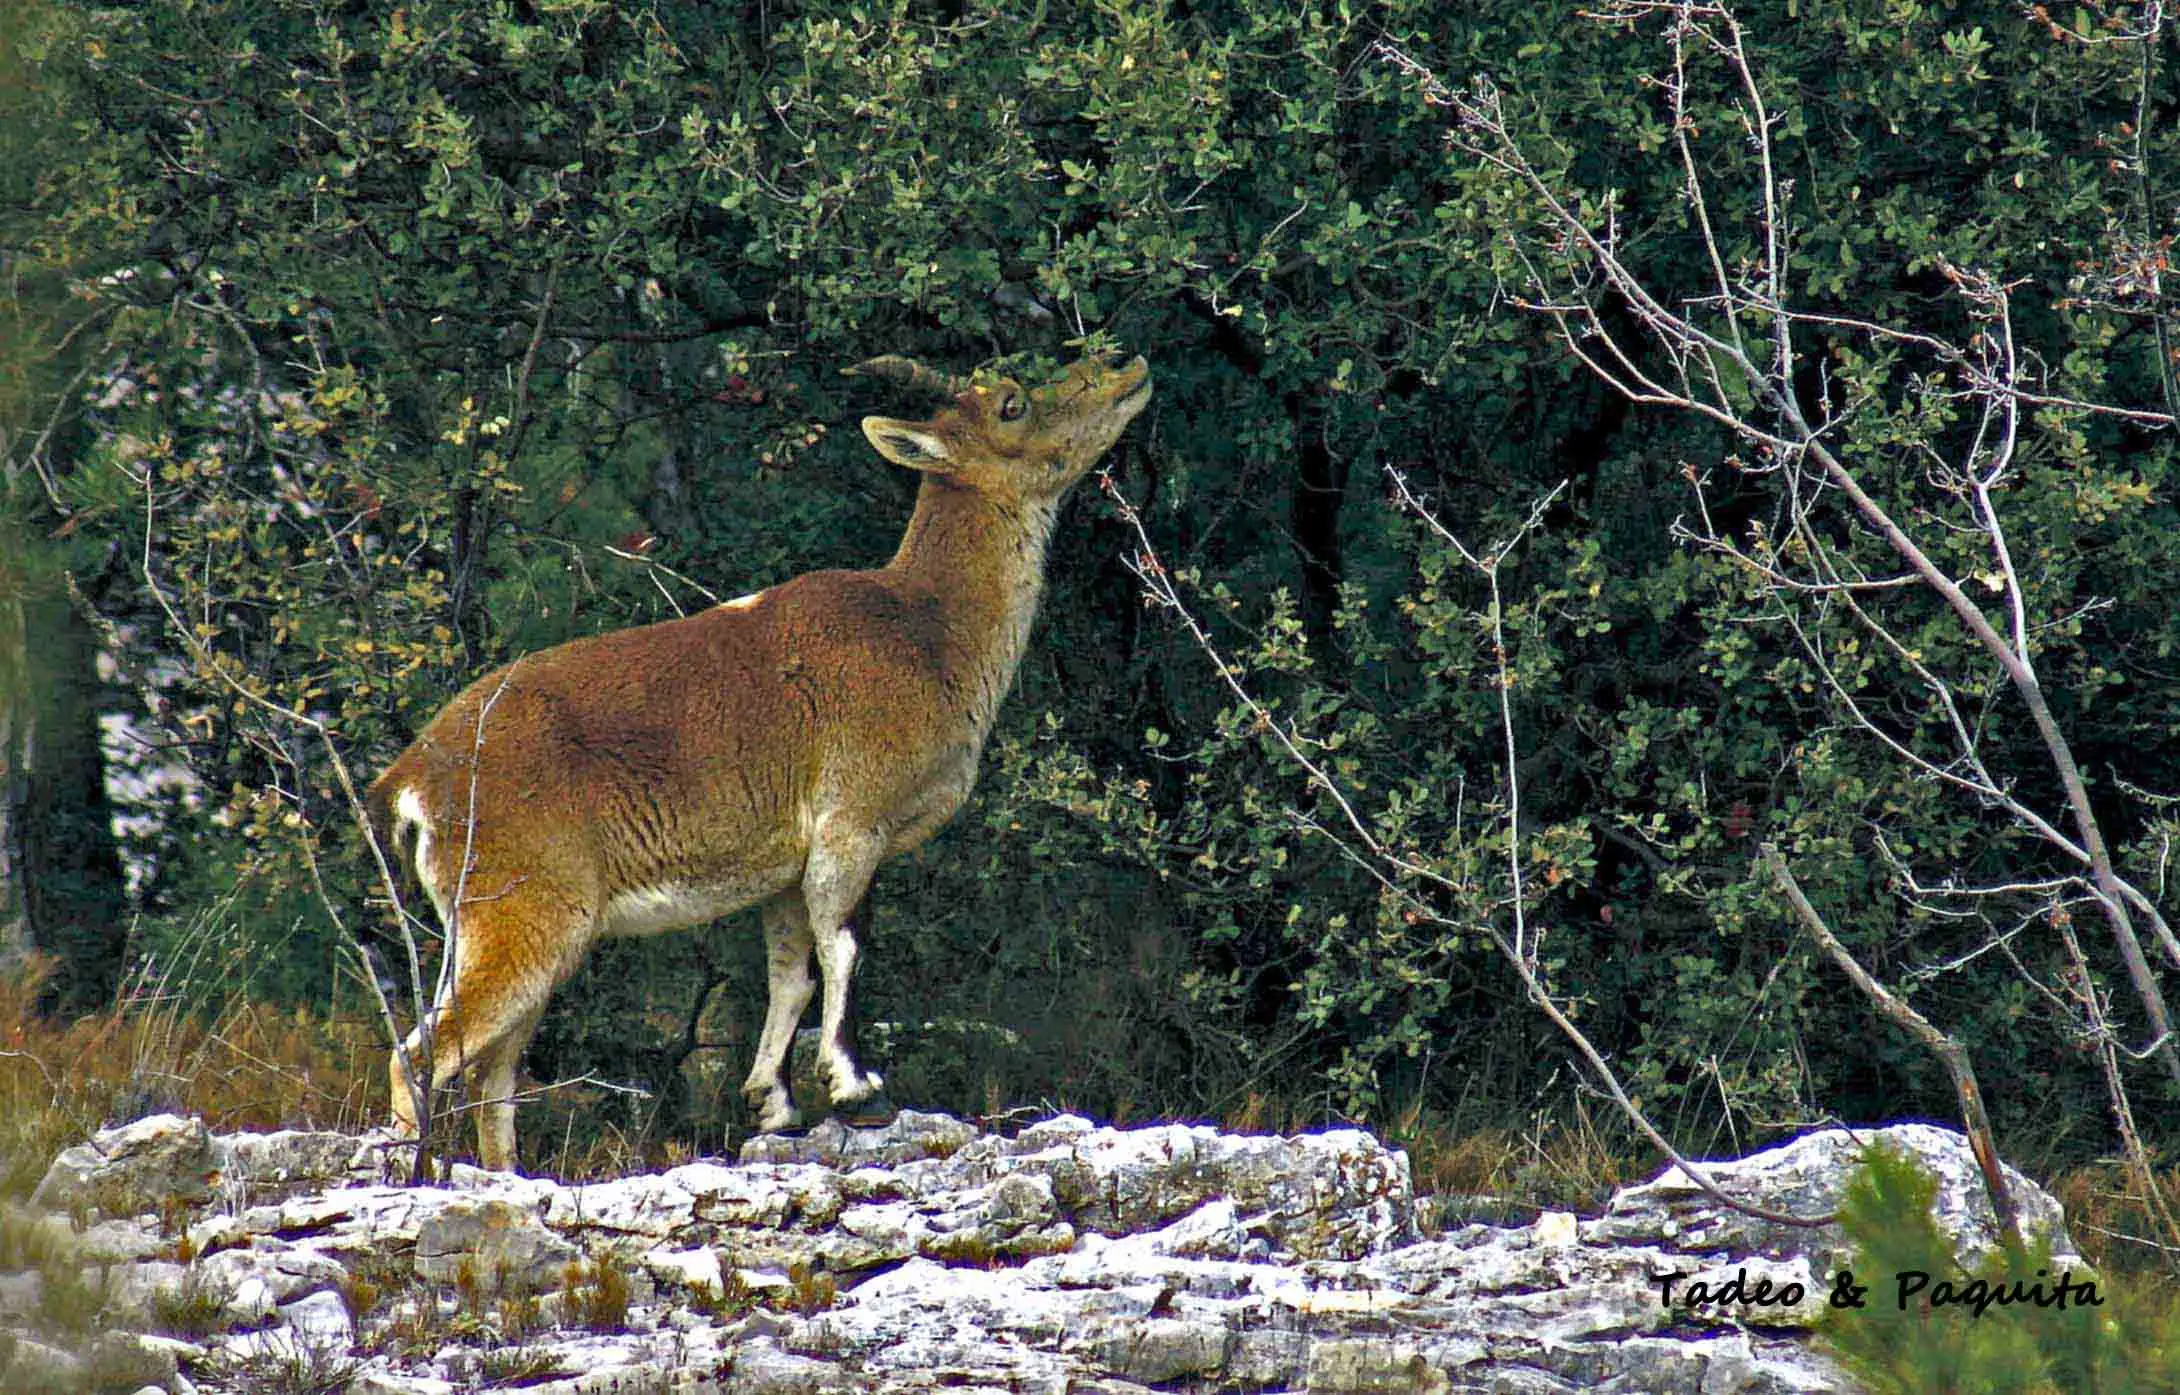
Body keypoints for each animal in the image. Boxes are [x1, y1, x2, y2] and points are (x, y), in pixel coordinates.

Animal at [366, 352, 1152, 1171]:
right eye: (1011, 403)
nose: (1124, 364)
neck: (930, 634)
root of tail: (411, 782)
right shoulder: (852, 820)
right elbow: (844, 945)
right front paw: (857, 1087)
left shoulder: (783, 865)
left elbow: (791, 974)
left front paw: (773, 1103)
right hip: (523, 907)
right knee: (423, 1056)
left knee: (493, 1072)